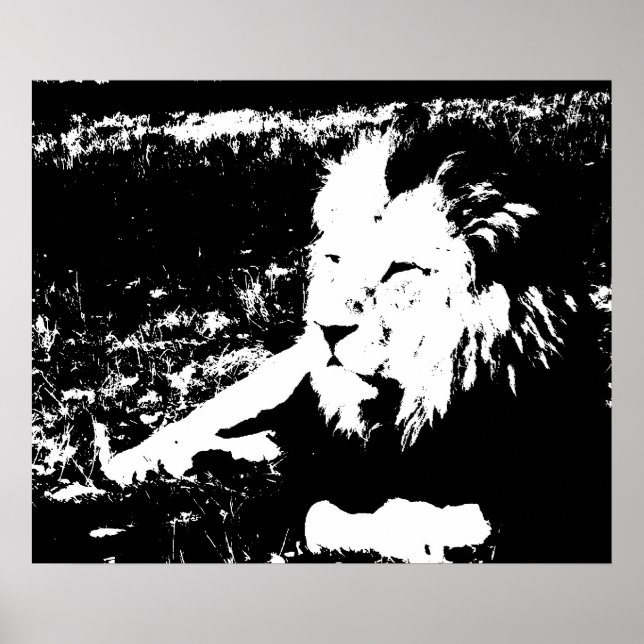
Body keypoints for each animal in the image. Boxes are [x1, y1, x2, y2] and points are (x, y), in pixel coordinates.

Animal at [96, 121, 610, 562]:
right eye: (336, 260)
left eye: (401, 270)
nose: (326, 328)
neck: (404, 411)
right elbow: (323, 512)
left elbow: (440, 517)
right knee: (193, 425)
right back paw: (139, 462)